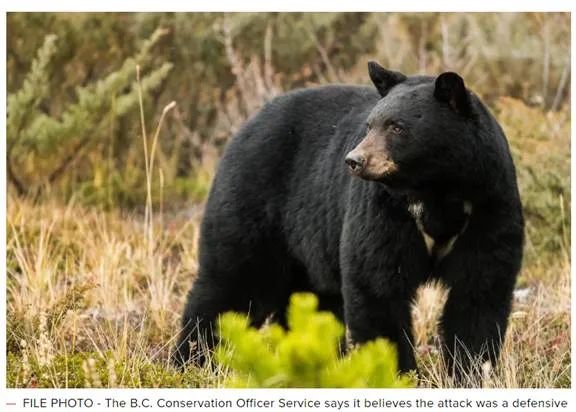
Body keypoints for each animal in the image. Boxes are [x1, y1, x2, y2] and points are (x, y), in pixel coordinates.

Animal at [173, 62, 524, 384]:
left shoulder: (488, 205)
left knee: (311, 301)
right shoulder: (385, 211)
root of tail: (248, 123)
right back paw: (192, 361)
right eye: (369, 125)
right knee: (232, 283)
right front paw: (395, 372)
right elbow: (377, 285)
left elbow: (479, 293)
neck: (437, 190)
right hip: (254, 199)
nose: (355, 160)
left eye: (397, 127)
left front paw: (472, 372)